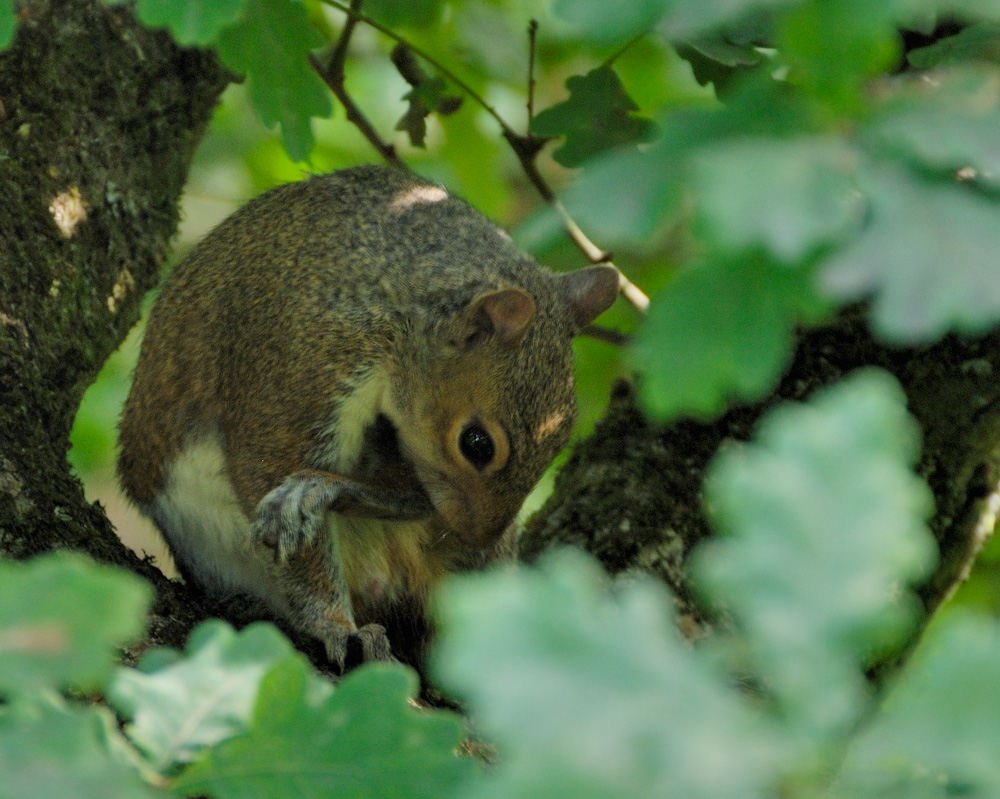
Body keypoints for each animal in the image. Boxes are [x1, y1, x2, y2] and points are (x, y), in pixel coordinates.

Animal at [115, 166, 616, 672]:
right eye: (477, 444)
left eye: (563, 439)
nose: (477, 534)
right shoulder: (301, 365)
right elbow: (269, 469)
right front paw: (335, 625)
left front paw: (328, 490)